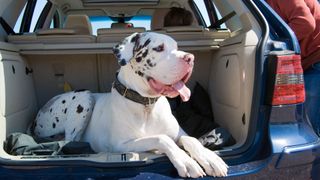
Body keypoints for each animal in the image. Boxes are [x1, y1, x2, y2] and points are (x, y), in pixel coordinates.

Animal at [32, 32, 228, 177]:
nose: (190, 58)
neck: (146, 105)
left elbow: (191, 139)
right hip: (84, 98)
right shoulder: (121, 145)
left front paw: (210, 158)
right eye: (159, 48)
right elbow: (161, 138)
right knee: (69, 141)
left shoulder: (179, 133)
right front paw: (186, 161)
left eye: (177, 47)